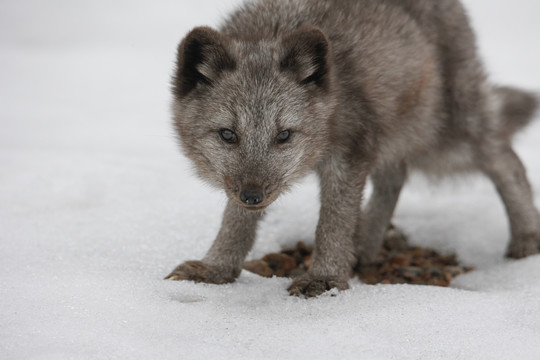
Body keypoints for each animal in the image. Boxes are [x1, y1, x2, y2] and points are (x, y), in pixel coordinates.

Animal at [167, 0, 536, 296]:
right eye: (228, 135)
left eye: (284, 135)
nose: (253, 196)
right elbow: (236, 221)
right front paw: (216, 269)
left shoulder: (349, 153)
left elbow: (334, 219)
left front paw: (325, 278)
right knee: (394, 177)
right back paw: (364, 247)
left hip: (446, 135)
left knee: (506, 158)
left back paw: (527, 240)